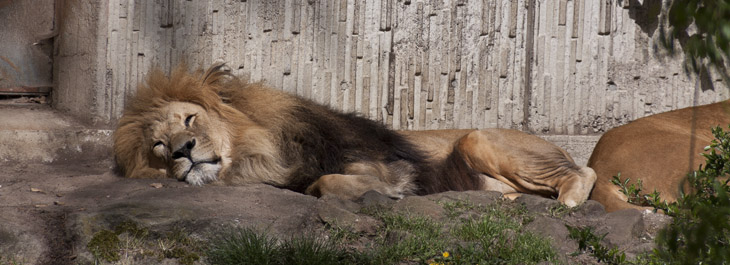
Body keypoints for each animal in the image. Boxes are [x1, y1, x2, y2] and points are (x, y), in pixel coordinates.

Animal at [111, 64, 596, 206]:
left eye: (190, 120)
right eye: (158, 146)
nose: (184, 151)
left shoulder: (385, 165)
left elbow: (331, 181)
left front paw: (388, 195)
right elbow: (318, 184)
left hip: (475, 138)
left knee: (585, 172)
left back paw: (569, 201)